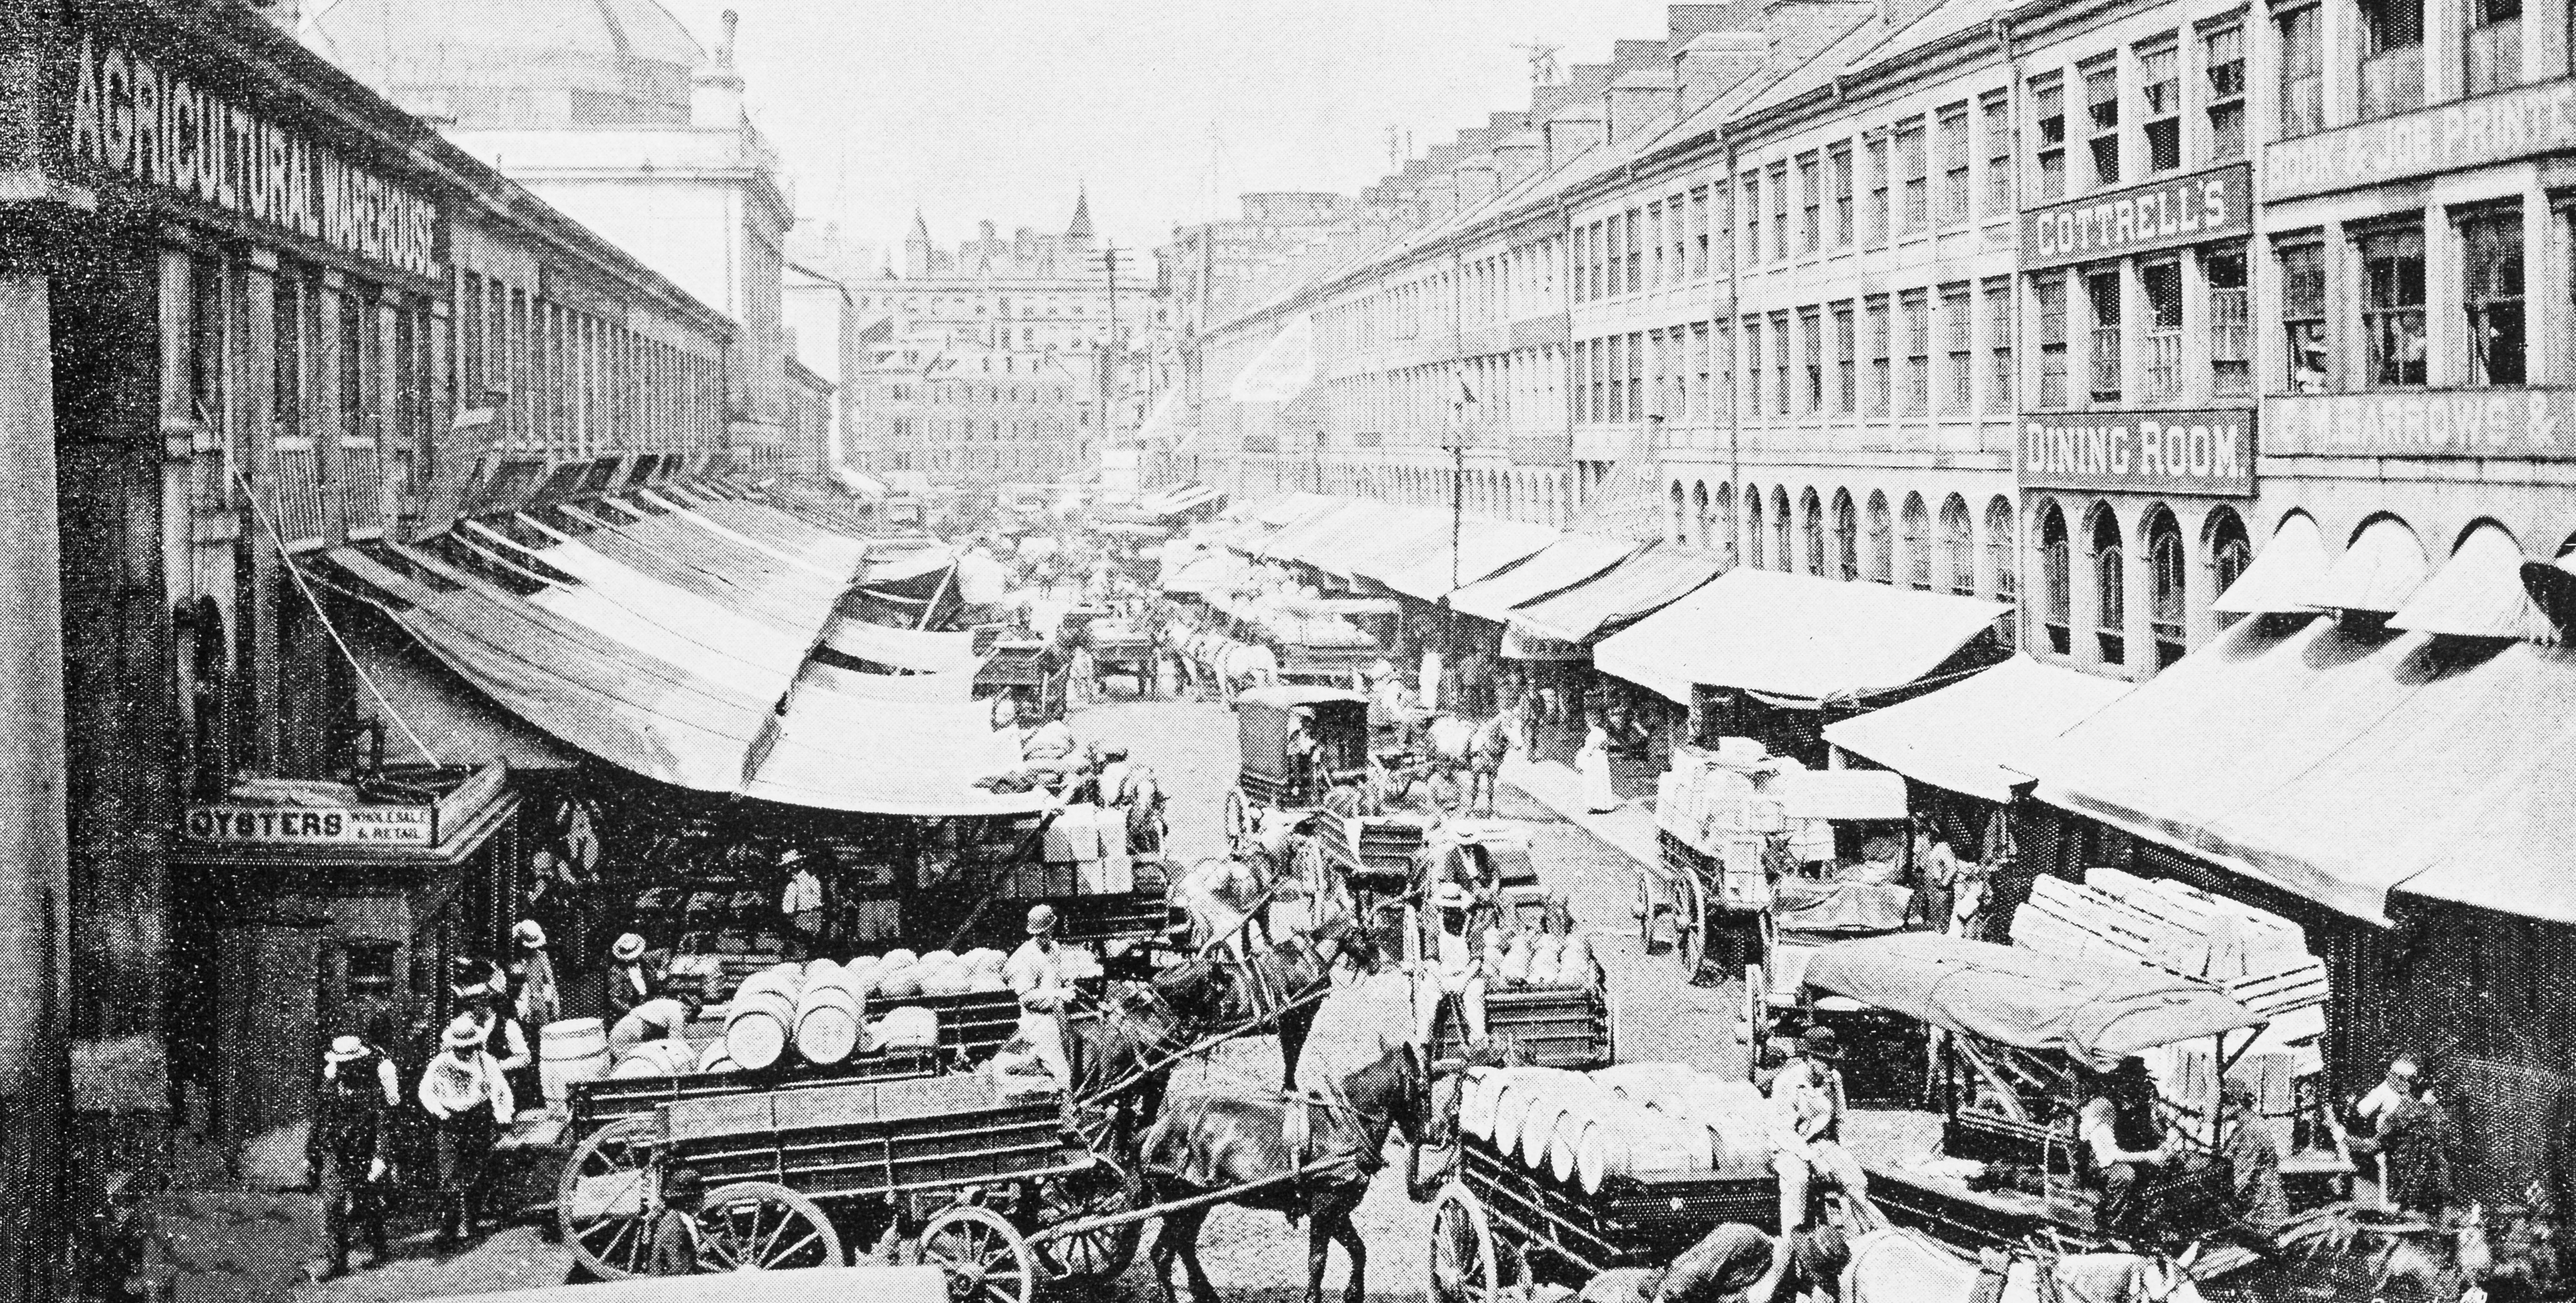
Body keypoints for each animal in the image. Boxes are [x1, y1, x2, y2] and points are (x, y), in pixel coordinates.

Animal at [1144, 1045, 1442, 1303]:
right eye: (1424, 1090)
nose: (1431, 1135)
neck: (1345, 1125)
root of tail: (1159, 1126)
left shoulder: (1338, 1211)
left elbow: (1359, 1251)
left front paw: (1353, 1294)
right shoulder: (1324, 1208)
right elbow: (1317, 1263)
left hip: (1190, 1206)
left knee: (1172, 1251)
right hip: (1184, 1204)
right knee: (1168, 1253)